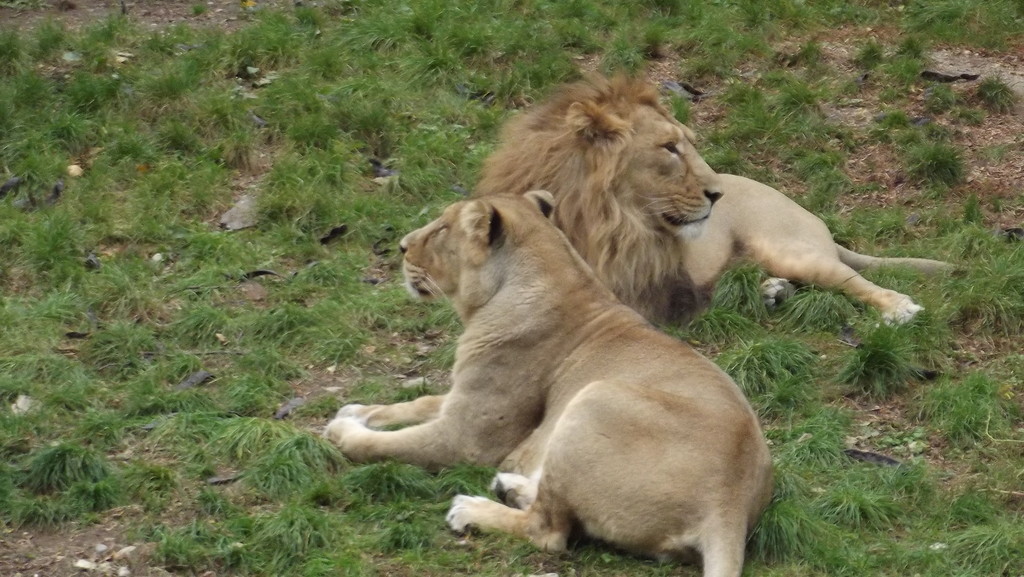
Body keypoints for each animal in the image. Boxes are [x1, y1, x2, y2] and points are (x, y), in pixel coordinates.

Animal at [324, 191, 773, 577]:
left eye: (440, 230)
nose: (400, 246)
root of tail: (729, 506)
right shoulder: (460, 399)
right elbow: (415, 404)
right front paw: (357, 410)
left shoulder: (467, 438)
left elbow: (387, 445)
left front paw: (343, 431)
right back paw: (511, 486)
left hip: (595, 397)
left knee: (548, 532)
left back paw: (472, 509)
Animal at [474, 75, 952, 325]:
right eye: (670, 147)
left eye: (687, 143)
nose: (717, 193)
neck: (607, 221)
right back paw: (772, 292)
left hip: (790, 248)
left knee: (853, 280)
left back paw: (898, 308)